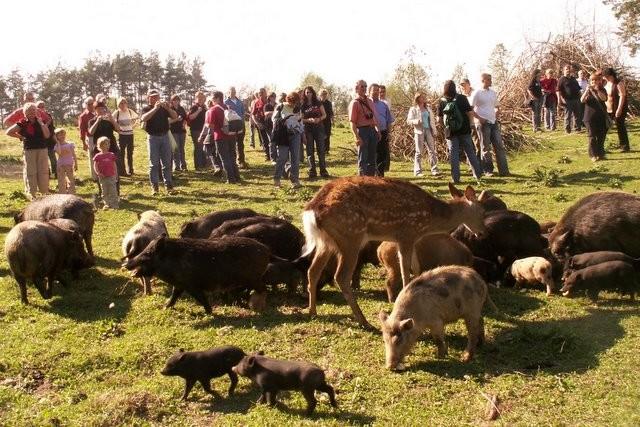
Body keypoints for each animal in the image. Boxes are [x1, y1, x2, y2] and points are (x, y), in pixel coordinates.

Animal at [302, 176, 488, 330]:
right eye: (483, 213)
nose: (483, 233)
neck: (429, 220)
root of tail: (312, 210)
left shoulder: (411, 239)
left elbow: (416, 267)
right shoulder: (407, 233)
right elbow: (406, 270)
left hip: (326, 242)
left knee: (313, 270)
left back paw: (312, 312)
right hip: (351, 235)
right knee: (341, 276)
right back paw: (364, 322)